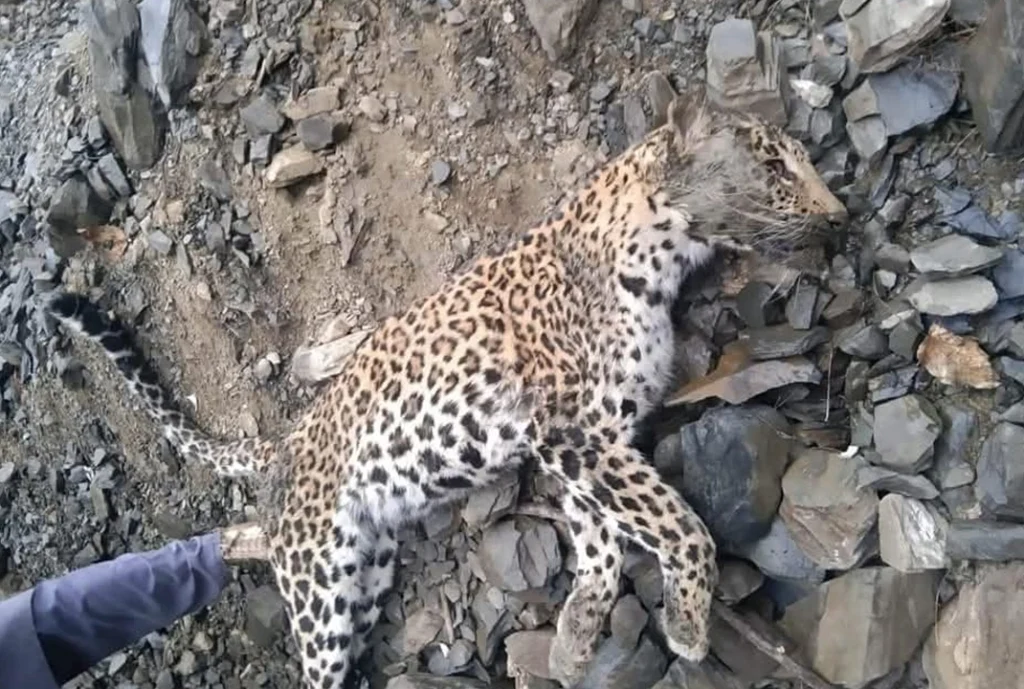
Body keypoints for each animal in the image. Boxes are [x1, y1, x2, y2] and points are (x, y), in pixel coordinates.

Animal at [44, 85, 847, 689]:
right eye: (777, 164)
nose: (840, 217)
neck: (652, 258)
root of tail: (287, 441)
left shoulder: (587, 441)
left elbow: (602, 535)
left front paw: (574, 639)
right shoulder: (574, 430)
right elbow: (677, 521)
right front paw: (685, 623)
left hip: (361, 571)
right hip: (320, 590)